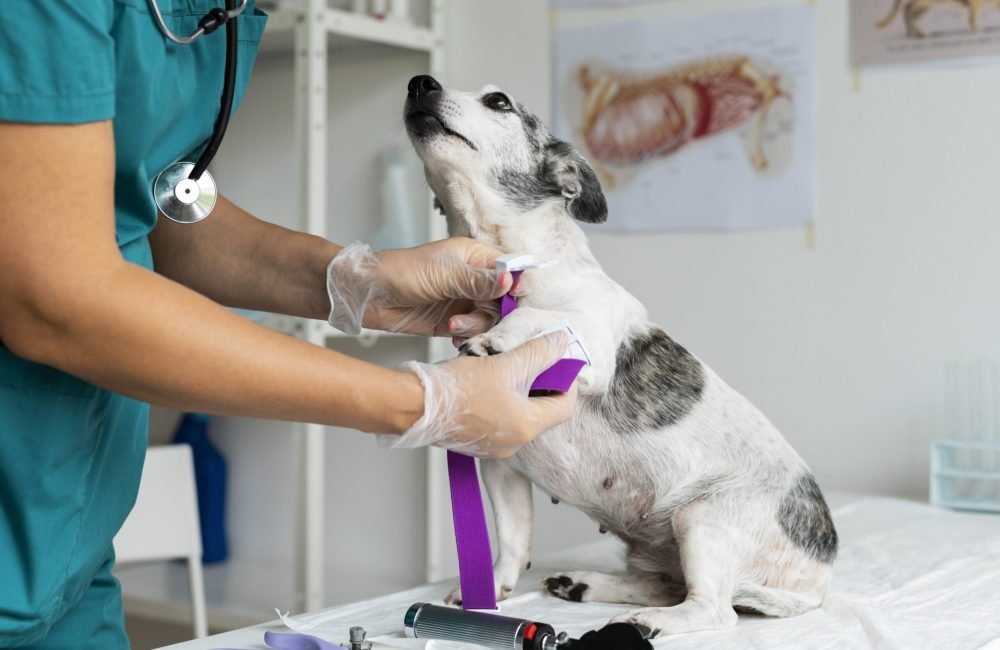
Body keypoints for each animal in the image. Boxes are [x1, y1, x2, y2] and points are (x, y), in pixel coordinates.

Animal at [400, 73, 836, 636]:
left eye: (498, 101)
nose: (419, 82)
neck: (512, 265)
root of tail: (818, 580)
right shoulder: (503, 466)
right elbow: (512, 542)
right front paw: (491, 590)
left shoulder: (592, 344)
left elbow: (543, 319)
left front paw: (499, 337)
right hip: (665, 547)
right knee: (667, 585)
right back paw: (585, 584)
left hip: (703, 517)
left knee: (713, 609)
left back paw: (647, 622)